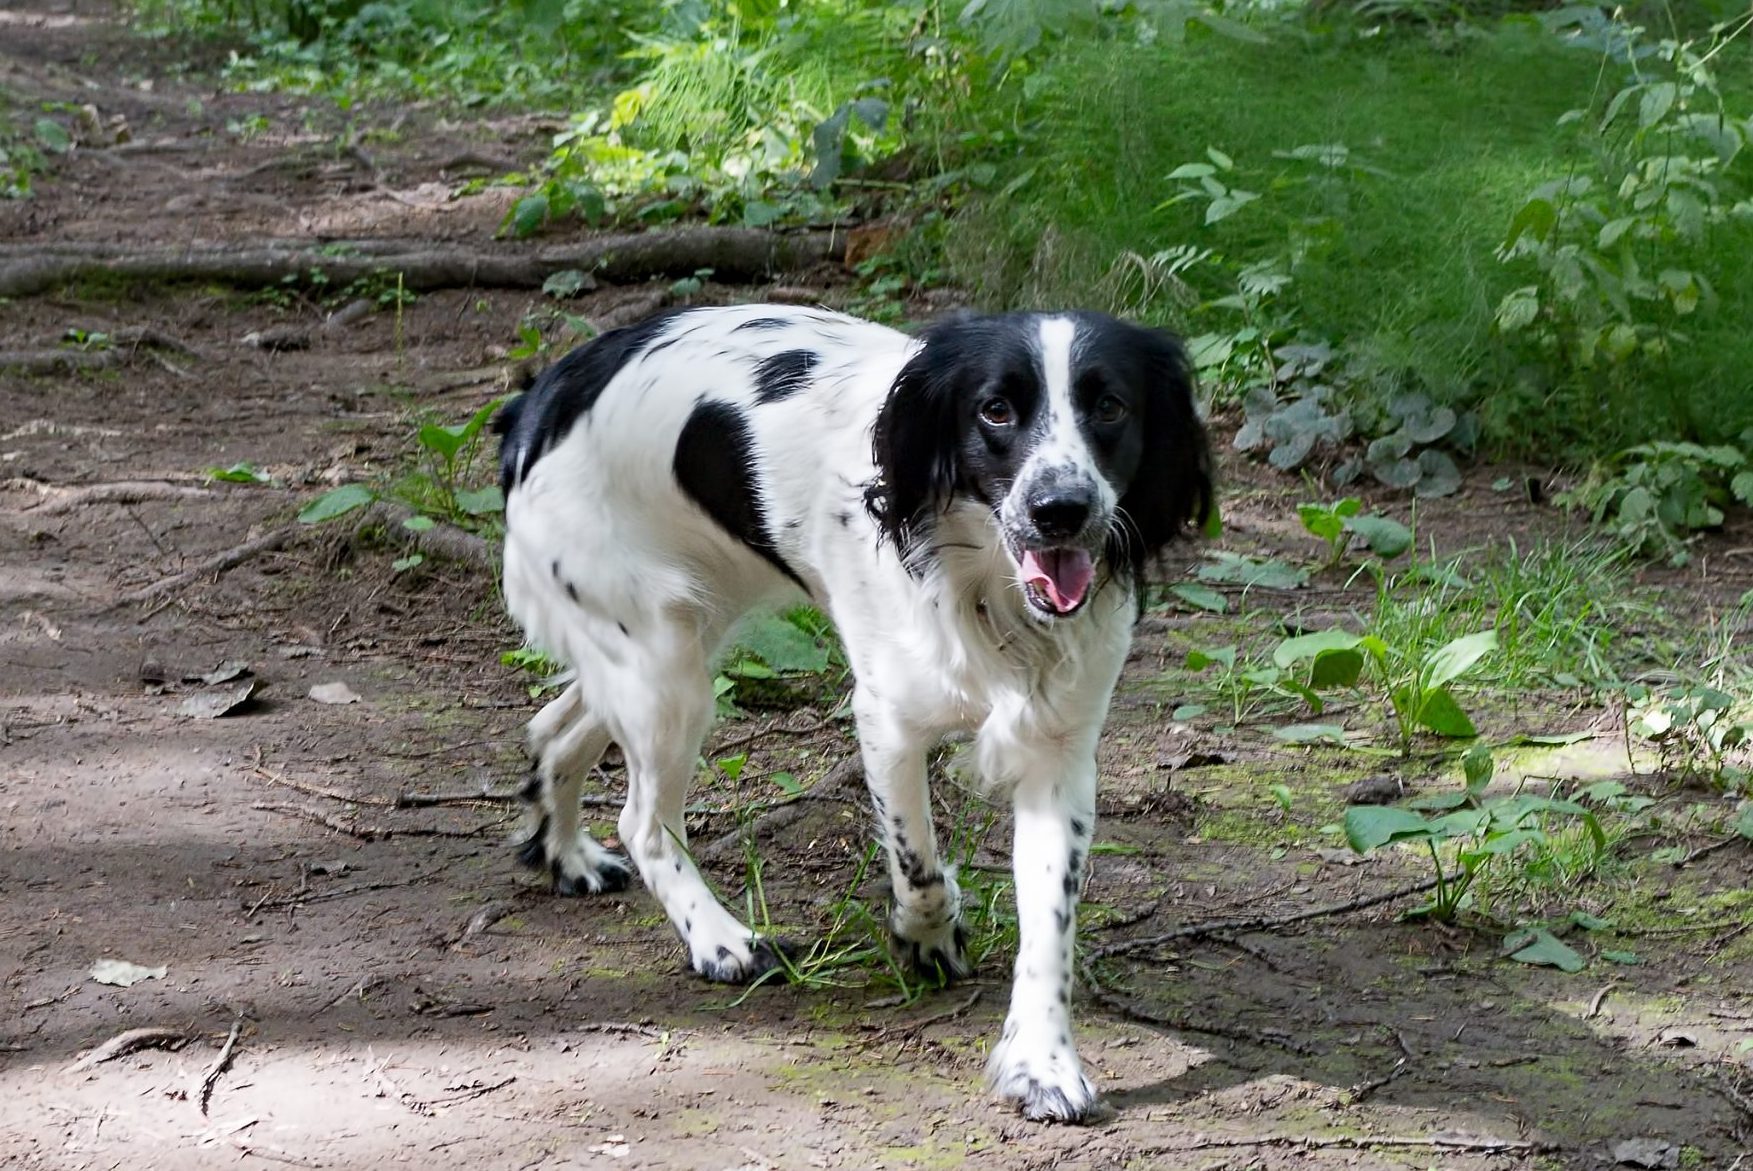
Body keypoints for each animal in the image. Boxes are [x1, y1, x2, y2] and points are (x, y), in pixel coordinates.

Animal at [490, 305, 1206, 1121]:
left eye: (1109, 405)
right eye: (995, 409)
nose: (1060, 510)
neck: (985, 586)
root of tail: (543, 395)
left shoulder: (1060, 751)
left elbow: (1049, 923)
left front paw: (1042, 1062)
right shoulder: (888, 721)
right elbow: (916, 862)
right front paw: (925, 937)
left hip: (667, 643)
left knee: (553, 731)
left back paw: (567, 855)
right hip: (664, 669)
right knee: (641, 819)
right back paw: (720, 939)